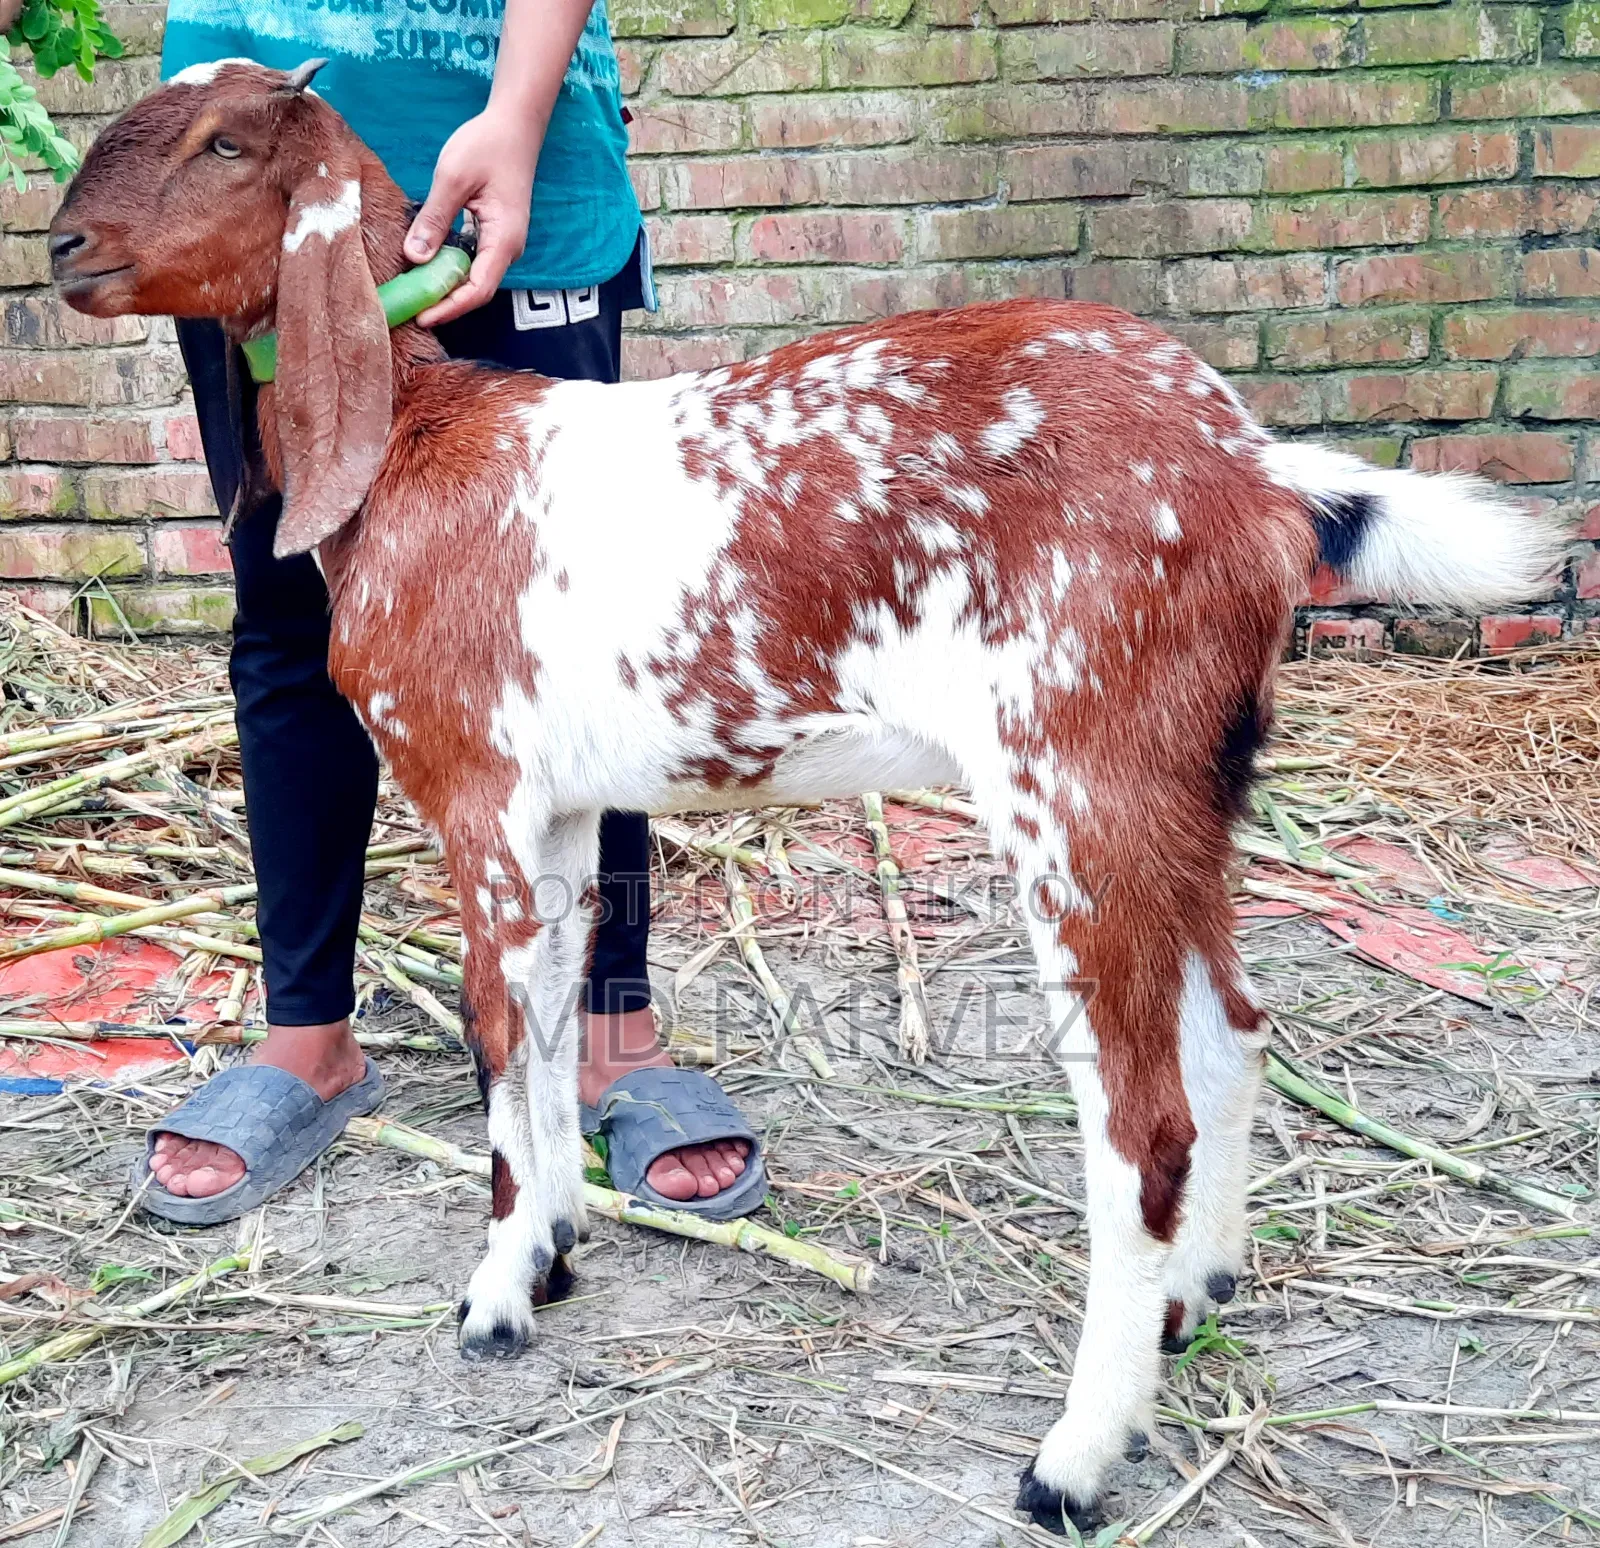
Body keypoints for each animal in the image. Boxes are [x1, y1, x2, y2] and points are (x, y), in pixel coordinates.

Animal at [49, 62, 1559, 1534]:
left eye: (225, 142)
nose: (62, 245)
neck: (418, 436)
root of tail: (1255, 470)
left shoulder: (478, 790)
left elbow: (494, 1037)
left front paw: (495, 1295)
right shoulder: (559, 812)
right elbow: (549, 1021)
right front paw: (557, 1245)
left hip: (1077, 781)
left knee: (1145, 1126)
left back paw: (1073, 1461)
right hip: (1186, 788)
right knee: (1234, 1033)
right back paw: (1197, 1300)